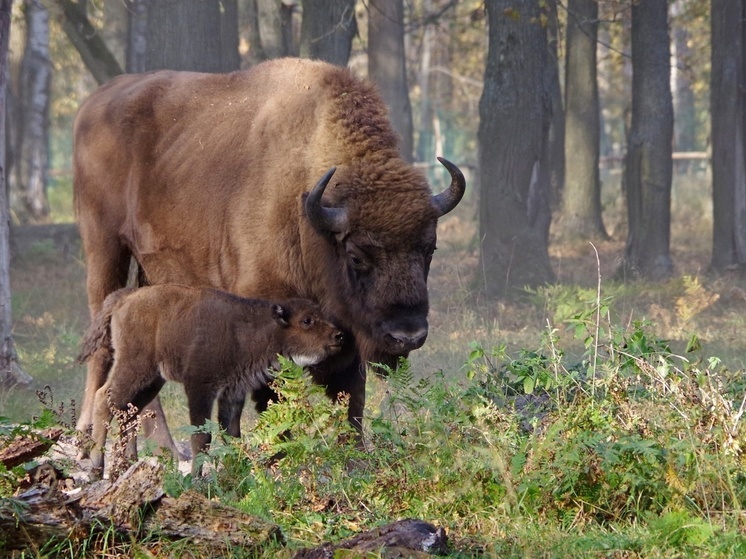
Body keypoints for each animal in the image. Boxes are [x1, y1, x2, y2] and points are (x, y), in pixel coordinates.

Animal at [72, 55, 462, 450]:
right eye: (356, 257)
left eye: (429, 249)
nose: (407, 336)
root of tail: (96, 101)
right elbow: (275, 396)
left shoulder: (345, 333)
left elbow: (351, 399)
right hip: (104, 247)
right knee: (103, 345)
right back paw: (87, 436)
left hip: (152, 274)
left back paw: (160, 447)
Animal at [78, 284, 342, 476]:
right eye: (306, 320)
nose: (338, 335)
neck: (252, 328)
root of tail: (126, 297)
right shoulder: (200, 389)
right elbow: (201, 436)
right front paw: (196, 476)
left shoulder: (233, 393)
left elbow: (231, 434)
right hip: (135, 368)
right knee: (105, 399)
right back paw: (98, 467)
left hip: (152, 380)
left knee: (128, 411)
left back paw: (127, 464)